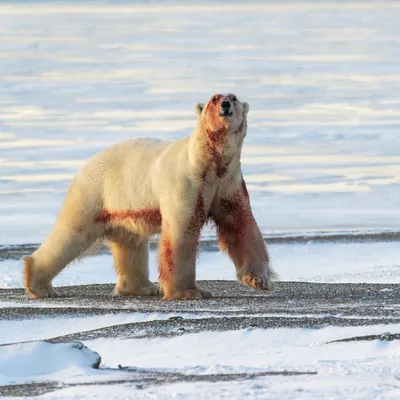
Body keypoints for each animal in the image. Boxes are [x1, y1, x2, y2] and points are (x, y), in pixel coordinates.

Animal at [24, 94, 276, 300]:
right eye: (214, 98)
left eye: (233, 97)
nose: (225, 105)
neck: (207, 163)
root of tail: (84, 167)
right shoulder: (187, 183)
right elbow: (181, 232)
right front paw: (190, 292)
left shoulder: (228, 182)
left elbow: (240, 224)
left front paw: (258, 279)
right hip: (94, 194)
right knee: (71, 233)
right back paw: (39, 285)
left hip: (125, 207)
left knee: (130, 243)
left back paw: (142, 287)